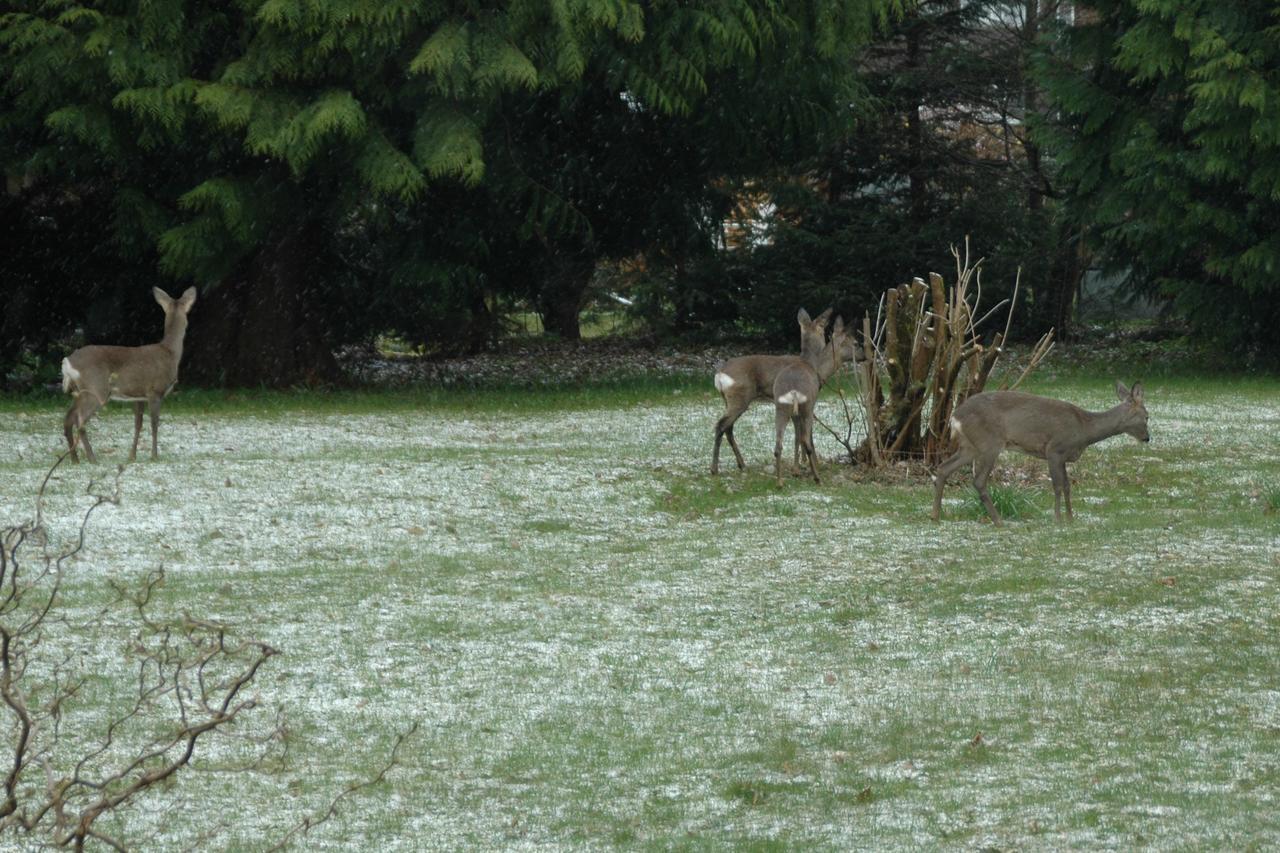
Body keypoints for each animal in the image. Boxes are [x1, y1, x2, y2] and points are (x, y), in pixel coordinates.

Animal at [60, 285, 197, 461]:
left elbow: (138, 424)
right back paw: (92, 458)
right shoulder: (155, 391)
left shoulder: (139, 395)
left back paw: (75, 459)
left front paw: (132, 456)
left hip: (78, 390)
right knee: (79, 419)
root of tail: (67, 362)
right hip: (96, 388)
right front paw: (154, 456)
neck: (170, 353)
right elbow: (154, 423)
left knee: (68, 418)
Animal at [706, 308, 834, 473]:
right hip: (739, 397)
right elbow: (804, 433)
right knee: (721, 425)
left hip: (728, 399)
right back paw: (714, 468)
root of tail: (720, 374)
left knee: (728, 428)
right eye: (823, 329)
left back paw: (741, 464)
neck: (809, 363)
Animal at [768, 313, 860, 489]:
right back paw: (817, 477)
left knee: (778, 442)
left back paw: (780, 481)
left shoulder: (795, 413)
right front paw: (808, 467)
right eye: (856, 342)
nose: (866, 355)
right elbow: (805, 437)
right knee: (805, 439)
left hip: (781, 407)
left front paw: (797, 469)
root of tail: (794, 390)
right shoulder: (811, 405)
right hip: (806, 406)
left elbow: (796, 437)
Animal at [931, 379, 1152, 525]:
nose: (1147, 438)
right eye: (1147, 416)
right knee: (978, 481)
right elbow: (1057, 486)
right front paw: (1058, 519)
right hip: (989, 443)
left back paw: (936, 516)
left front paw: (1071, 518)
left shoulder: (1063, 456)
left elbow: (1067, 486)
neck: (1085, 429)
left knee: (943, 468)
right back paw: (998, 521)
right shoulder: (1054, 449)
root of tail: (955, 417)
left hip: (970, 446)